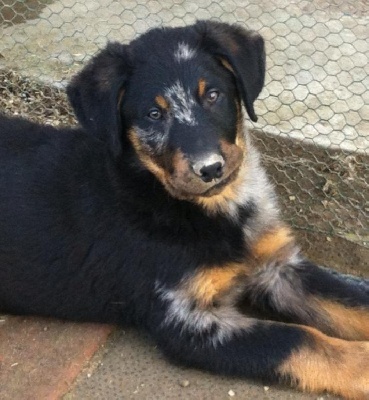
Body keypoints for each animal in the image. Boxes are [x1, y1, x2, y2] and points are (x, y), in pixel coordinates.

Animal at [0, 20, 368, 398]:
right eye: (153, 114)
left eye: (213, 95)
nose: (210, 168)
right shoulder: (186, 322)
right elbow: (298, 339)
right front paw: (363, 365)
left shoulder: (279, 267)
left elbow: (352, 302)